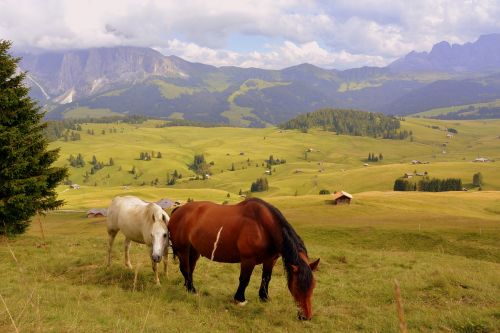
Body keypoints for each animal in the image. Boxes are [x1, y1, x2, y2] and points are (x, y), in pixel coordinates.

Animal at [166, 197, 318, 320]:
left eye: (313, 286)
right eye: (297, 287)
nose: (306, 316)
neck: (263, 226)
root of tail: (179, 209)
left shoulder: (270, 260)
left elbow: (266, 279)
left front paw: (264, 297)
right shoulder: (247, 260)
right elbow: (244, 280)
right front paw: (240, 299)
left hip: (194, 251)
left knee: (190, 269)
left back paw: (188, 286)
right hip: (183, 250)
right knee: (185, 268)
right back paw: (191, 289)